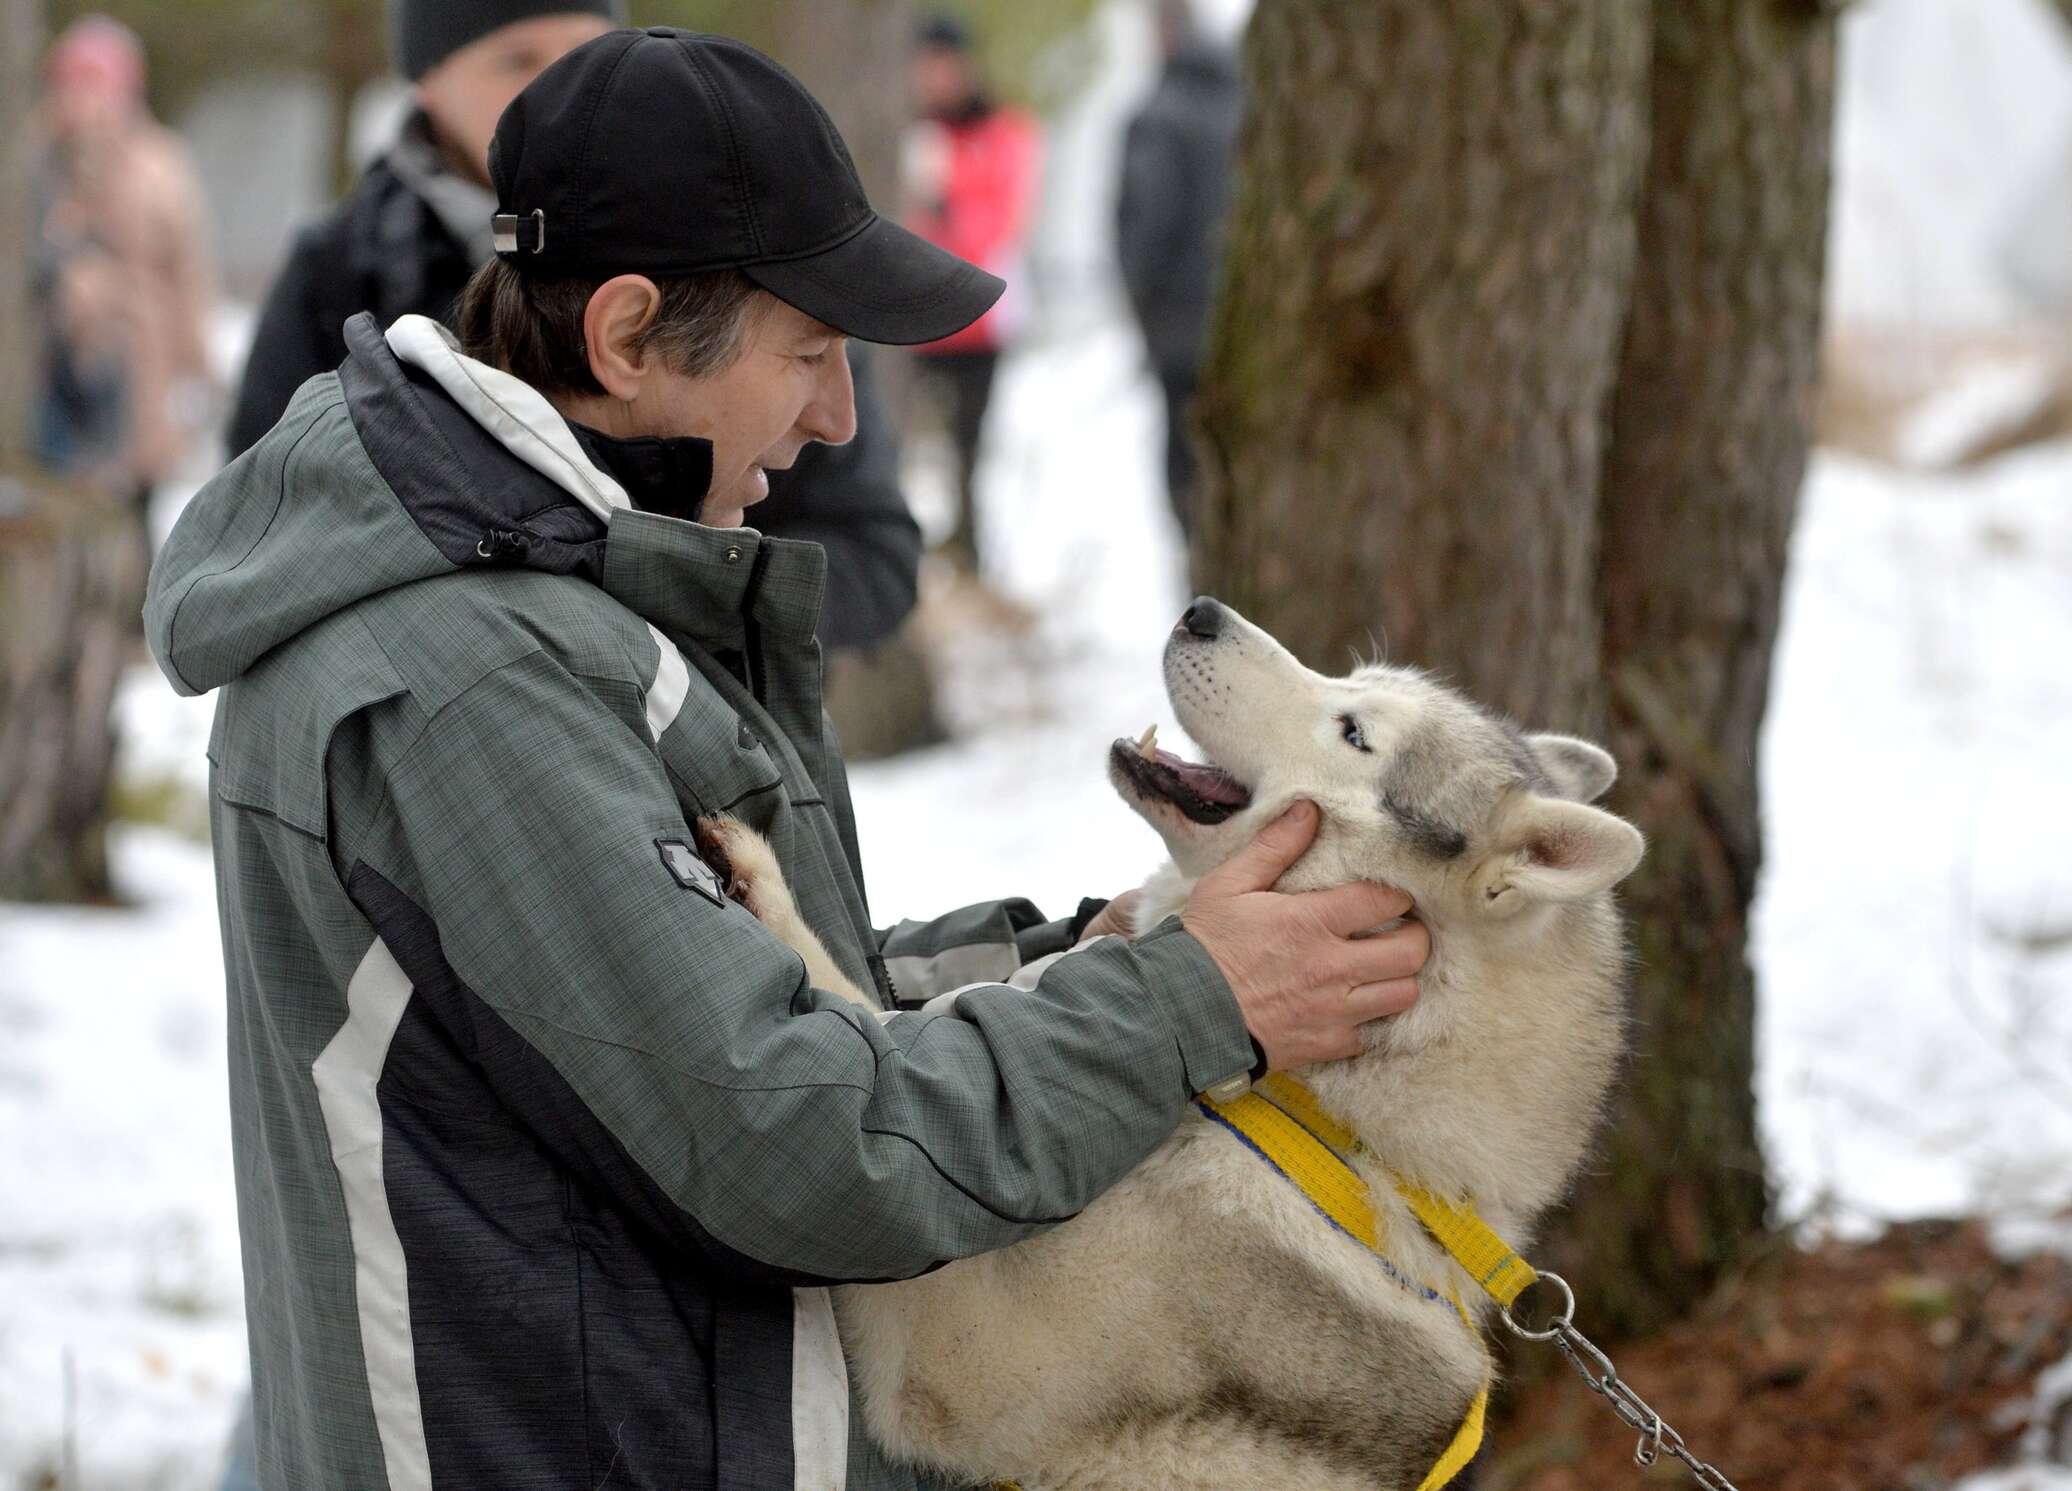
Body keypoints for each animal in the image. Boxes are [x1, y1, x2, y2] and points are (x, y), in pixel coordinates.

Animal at [704, 596, 1641, 1491]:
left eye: (1354, 732)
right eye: (1352, 680)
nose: (1201, 610)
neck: (1317, 1122)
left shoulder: (943, 1341)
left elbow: (854, 1011)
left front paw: (763, 884)